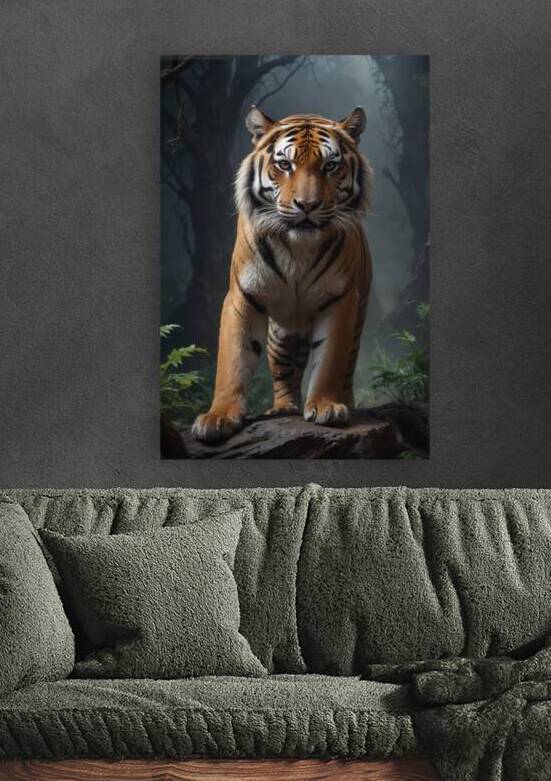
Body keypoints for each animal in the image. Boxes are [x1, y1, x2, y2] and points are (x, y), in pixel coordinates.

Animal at [192, 105, 373, 443]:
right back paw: (283, 409)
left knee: (347, 364)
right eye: (285, 164)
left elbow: (330, 360)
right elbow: (232, 360)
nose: (307, 205)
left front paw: (327, 406)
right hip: (280, 334)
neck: (298, 249)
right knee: (284, 373)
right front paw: (218, 417)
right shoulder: (242, 297)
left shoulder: (341, 300)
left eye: (330, 165)